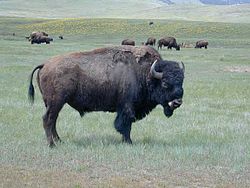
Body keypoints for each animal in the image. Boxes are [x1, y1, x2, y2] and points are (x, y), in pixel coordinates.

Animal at [28, 45, 185, 147]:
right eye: (164, 83)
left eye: (182, 81)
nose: (177, 102)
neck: (146, 73)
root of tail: (45, 64)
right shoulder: (127, 107)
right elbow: (125, 124)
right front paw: (129, 142)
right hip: (56, 102)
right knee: (48, 119)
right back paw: (52, 145)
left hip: (52, 103)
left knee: (53, 120)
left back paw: (59, 141)